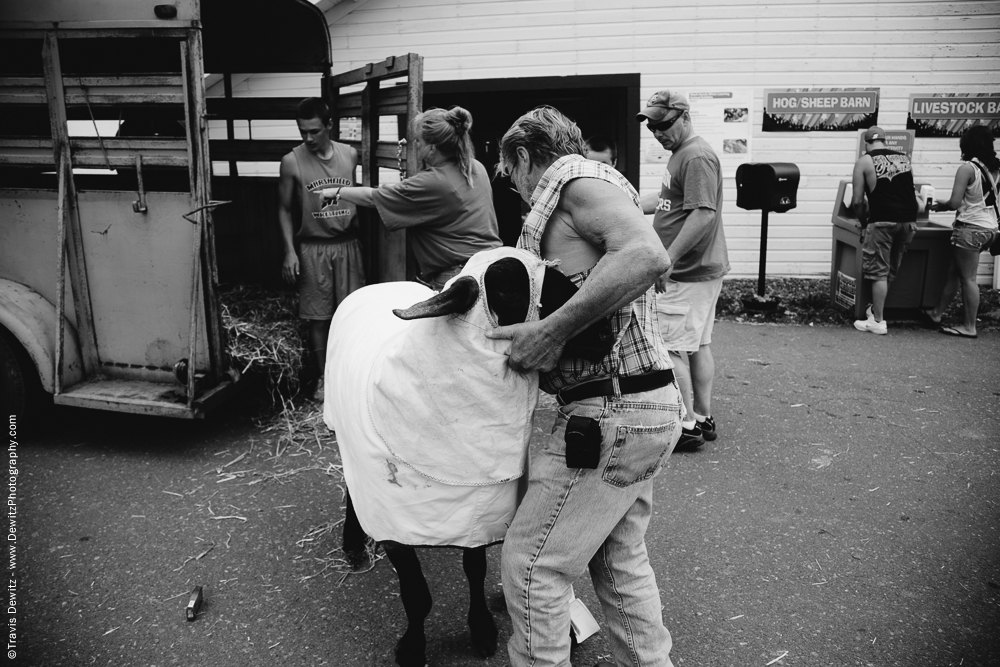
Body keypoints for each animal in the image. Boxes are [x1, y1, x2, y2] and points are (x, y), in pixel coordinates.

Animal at [324, 247, 612, 667]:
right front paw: (412, 647)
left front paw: (482, 630)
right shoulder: (395, 525)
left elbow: (474, 570)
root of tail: (378, 284)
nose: (606, 332)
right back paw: (353, 544)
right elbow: (417, 595)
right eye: (508, 289)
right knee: (350, 484)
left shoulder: (481, 511)